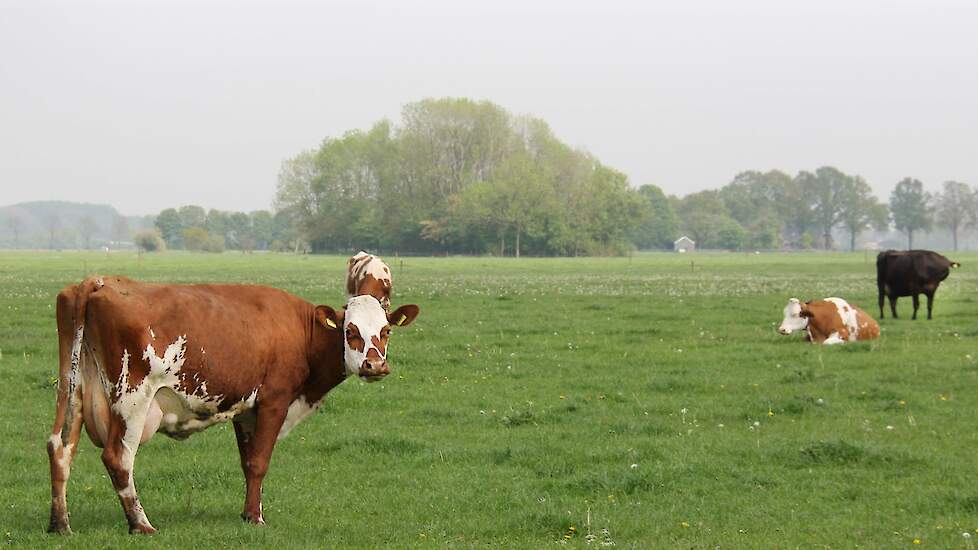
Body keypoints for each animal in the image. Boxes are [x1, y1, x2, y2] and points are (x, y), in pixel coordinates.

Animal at [46, 253, 420, 536]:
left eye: (386, 330)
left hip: (73, 389)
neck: (302, 332)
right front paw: (256, 519)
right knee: (118, 458)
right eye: (350, 331)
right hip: (132, 398)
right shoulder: (274, 401)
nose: (375, 365)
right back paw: (141, 524)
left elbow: (248, 462)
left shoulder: (245, 410)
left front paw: (248, 512)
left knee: (59, 448)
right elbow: (259, 461)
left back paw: (60, 523)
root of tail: (99, 281)